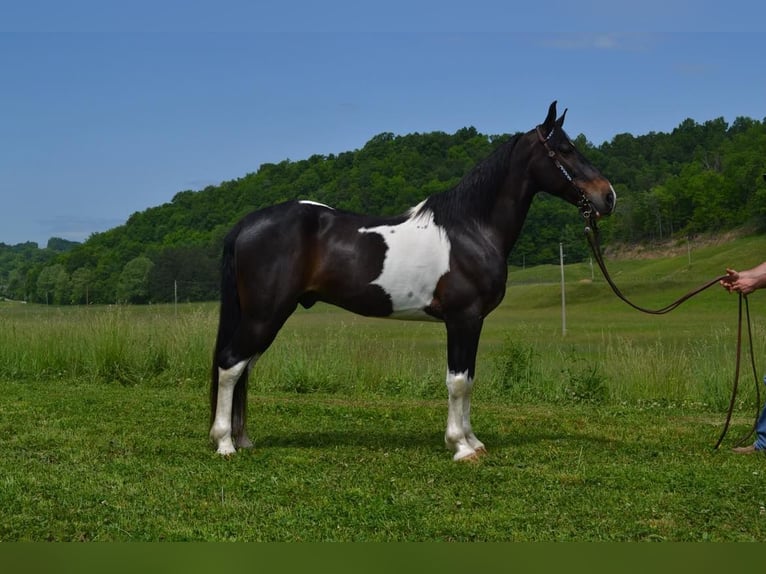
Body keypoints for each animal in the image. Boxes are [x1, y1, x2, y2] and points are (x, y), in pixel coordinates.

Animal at [210, 101, 616, 464]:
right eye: (565, 150)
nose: (607, 196)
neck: (471, 229)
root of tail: (244, 225)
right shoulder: (462, 318)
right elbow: (457, 381)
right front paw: (460, 446)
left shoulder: (473, 322)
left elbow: (469, 379)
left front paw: (474, 441)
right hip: (265, 315)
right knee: (231, 365)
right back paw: (225, 443)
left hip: (266, 317)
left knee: (244, 368)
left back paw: (242, 439)